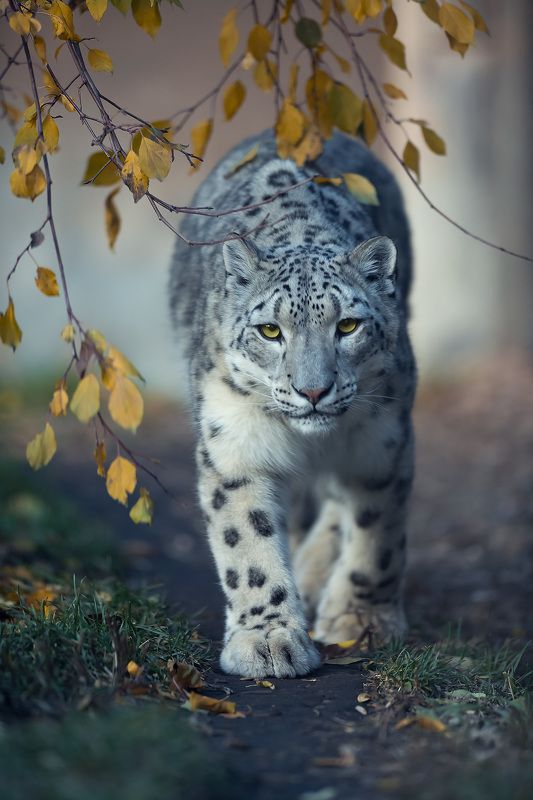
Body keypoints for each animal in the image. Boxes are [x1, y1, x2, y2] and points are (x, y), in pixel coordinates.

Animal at [169, 129, 416, 679]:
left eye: (348, 325)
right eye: (269, 330)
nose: (313, 390)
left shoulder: (384, 444)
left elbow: (378, 538)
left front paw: (361, 622)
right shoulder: (234, 446)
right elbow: (248, 543)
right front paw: (267, 642)